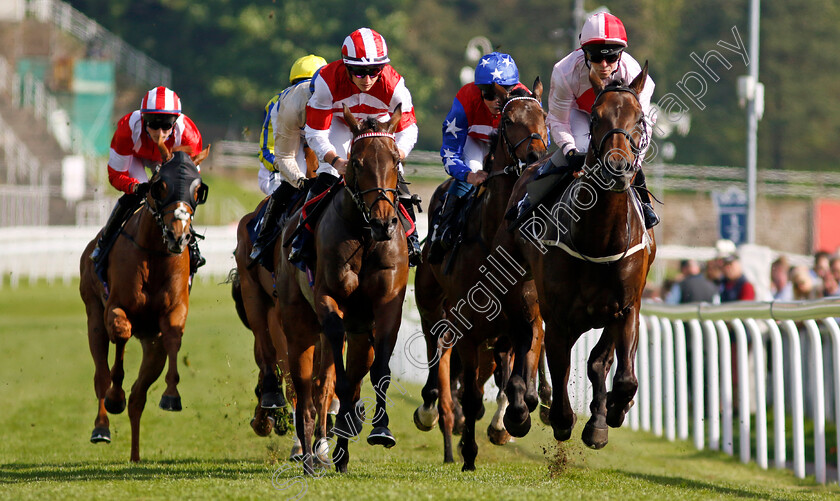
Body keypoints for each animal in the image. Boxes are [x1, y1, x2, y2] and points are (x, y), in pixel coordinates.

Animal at [79, 140, 209, 460]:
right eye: (160, 185)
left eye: (198, 189)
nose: (179, 236)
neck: (154, 253)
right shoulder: (115, 307)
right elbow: (121, 334)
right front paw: (115, 396)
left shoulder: (172, 314)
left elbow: (174, 336)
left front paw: (172, 396)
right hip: (93, 315)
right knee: (101, 375)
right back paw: (102, 425)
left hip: (152, 345)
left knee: (138, 396)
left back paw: (135, 456)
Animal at [274, 104, 408, 472]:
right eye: (357, 162)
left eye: (396, 160)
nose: (383, 222)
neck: (363, 236)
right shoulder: (327, 298)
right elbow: (337, 372)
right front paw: (344, 418)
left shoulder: (387, 304)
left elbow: (379, 367)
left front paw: (380, 428)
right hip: (297, 324)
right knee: (304, 388)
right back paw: (308, 453)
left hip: (359, 328)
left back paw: (341, 449)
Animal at [416, 81, 552, 468]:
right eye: (508, 120)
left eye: (543, 114)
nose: (536, 156)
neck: (495, 240)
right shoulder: (470, 330)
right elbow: (472, 396)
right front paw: (468, 453)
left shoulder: (527, 320)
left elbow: (518, 384)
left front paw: (516, 418)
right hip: (431, 305)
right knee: (435, 351)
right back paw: (430, 408)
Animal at [498, 62, 656, 450]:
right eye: (596, 118)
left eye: (640, 118)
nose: (617, 166)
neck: (600, 241)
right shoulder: (558, 316)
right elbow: (557, 367)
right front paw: (559, 418)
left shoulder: (627, 306)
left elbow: (619, 374)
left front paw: (612, 412)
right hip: (518, 281)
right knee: (522, 333)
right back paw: (519, 410)